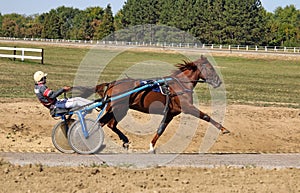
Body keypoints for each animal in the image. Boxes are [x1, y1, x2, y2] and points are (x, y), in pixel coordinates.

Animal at [95, 55, 230, 152]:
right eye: (210, 68)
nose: (218, 82)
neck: (180, 85)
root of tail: (112, 84)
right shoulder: (187, 107)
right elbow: (206, 116)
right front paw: (224, 129)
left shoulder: (170, 113)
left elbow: (161, 129)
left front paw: (151, 147)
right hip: (119, 108)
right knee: (102, 123)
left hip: (120, 109)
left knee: (110, 124)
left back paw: (125, 141)